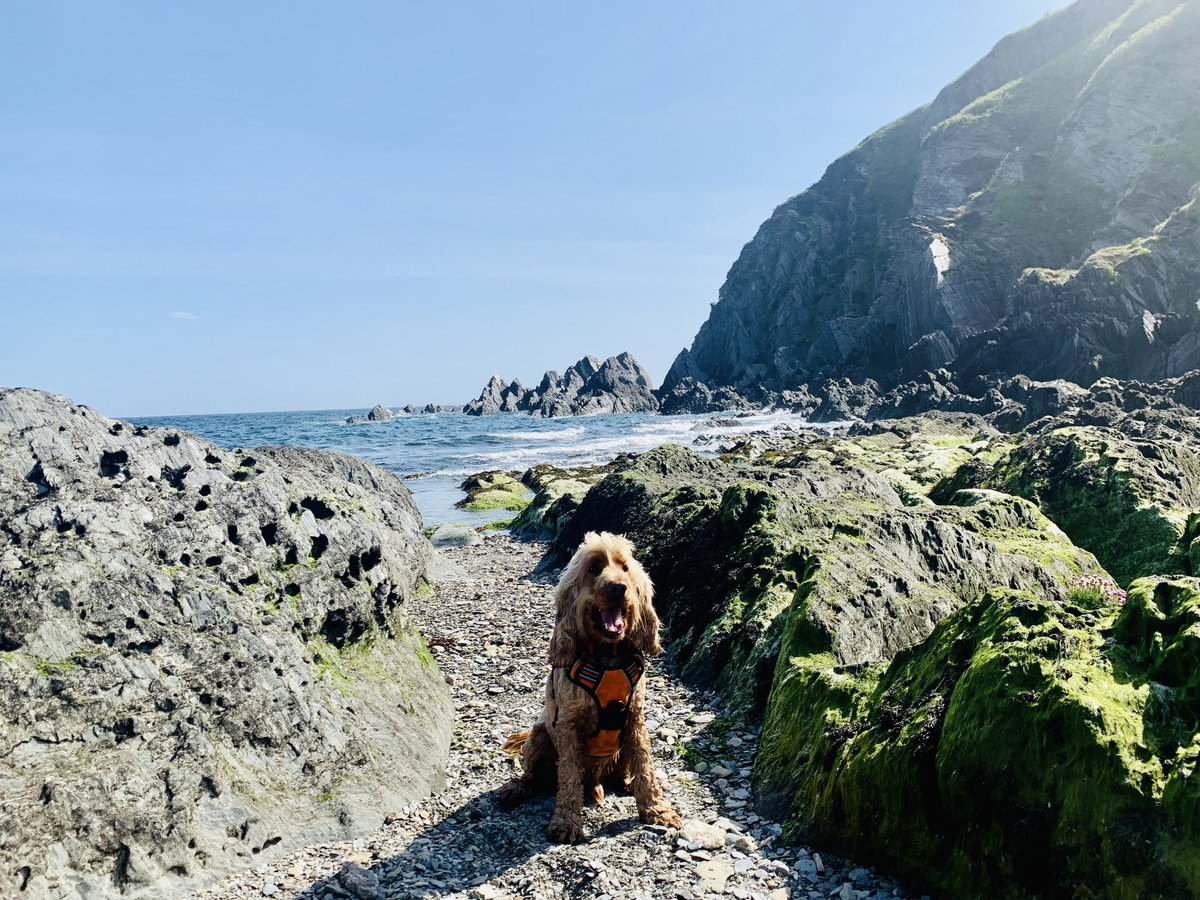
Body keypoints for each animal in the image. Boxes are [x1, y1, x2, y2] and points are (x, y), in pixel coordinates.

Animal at [499, 532, 686, 844]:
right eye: (594, 569)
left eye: (625, 568)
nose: (619, 587)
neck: (607, 657)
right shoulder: (568, 727)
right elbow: (568, 777)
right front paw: (566, 822)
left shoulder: (635, 721)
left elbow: (646, 767)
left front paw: (657, 810)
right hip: (538, 736)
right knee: (535, 777)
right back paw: (516, 789)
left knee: (623, 773)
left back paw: (626, 783)